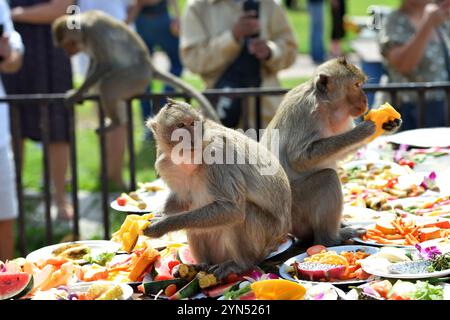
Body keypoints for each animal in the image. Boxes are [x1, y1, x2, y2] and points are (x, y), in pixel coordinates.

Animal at [51, 10, 220, 129]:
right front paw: (81, 92)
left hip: (136, 77)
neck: (84, 25)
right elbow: (94, 62)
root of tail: (150, 67)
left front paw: (76, 94)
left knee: (107, 87)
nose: (69, 53)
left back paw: (115, 123)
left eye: (69, 44)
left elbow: (104, 64)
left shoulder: (94, 33)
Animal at [143, 99, 292, 278]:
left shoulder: (217, 154)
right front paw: (159, 214)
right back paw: (201, 265)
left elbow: (232, 209)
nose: (192, 138)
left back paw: (240, 264)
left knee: (244, 213)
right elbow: (182, 200)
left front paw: (163, 224)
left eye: (192, 124)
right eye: (180, 125)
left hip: (264, 239)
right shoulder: (166, 164)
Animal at [258, 57, 402, 246]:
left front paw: (388, 125)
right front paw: (362, 131)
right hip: (296, 209)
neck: (325, 105)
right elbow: (299, 158)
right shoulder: (307, 112)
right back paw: (332, 238)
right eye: (356, 85)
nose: (365, 100)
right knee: (328, 178)